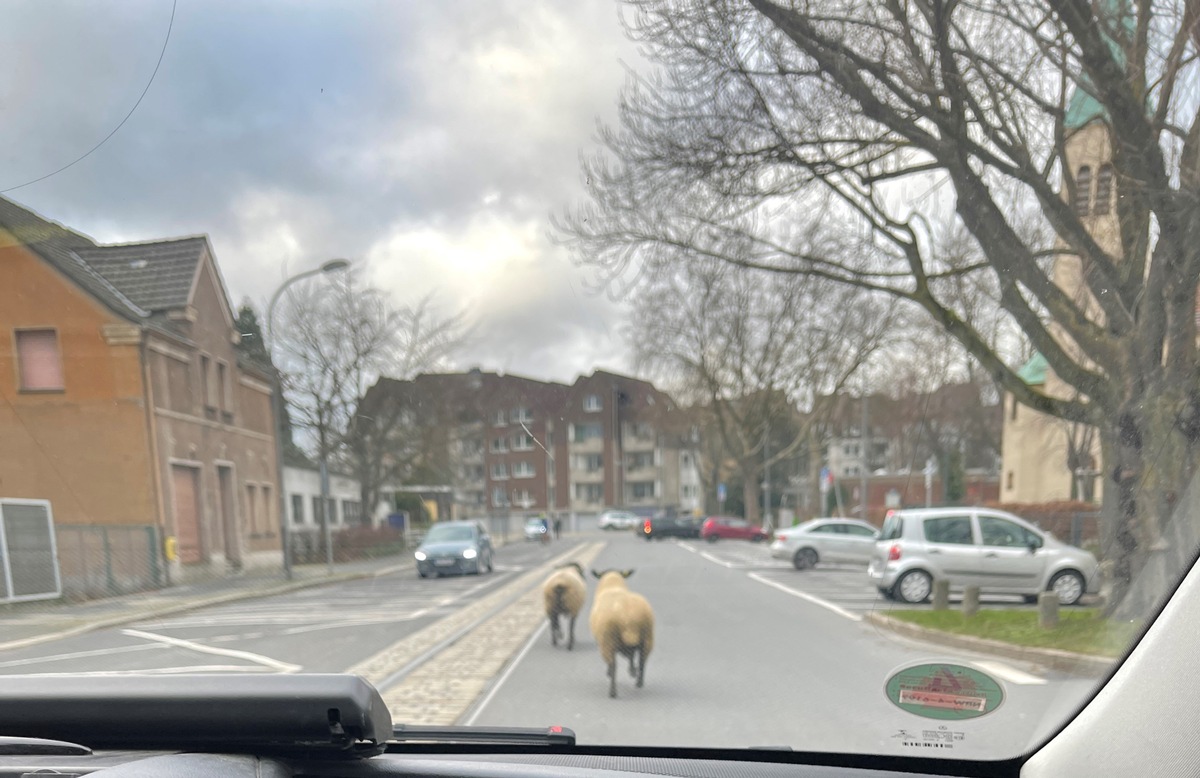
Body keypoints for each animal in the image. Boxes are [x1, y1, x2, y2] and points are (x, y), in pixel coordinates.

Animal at [585, 564, 652, 701]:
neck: (613, 586)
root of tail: (628, 617)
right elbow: (631, 656)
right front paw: (632, 671)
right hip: (647, 637)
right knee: (642, 661)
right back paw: (639, 682)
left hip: (608, 641)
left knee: (614, 665)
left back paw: (612, 692)